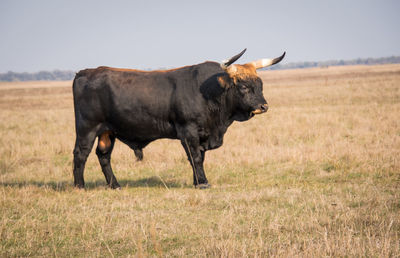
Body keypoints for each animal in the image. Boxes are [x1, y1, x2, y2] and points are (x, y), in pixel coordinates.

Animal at [72, 48, 284, 188]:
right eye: (243, 86)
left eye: (260, 84)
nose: (263, 106)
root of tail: (85, 72)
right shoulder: (188, 131)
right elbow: (195, 157)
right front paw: (203, 183)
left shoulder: (203, 134)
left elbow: (200, 157)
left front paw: (197, 181)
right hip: (87, 128)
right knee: (81, 154)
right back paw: (80, 185)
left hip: (108, 131)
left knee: (103, 155)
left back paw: (114, 185)